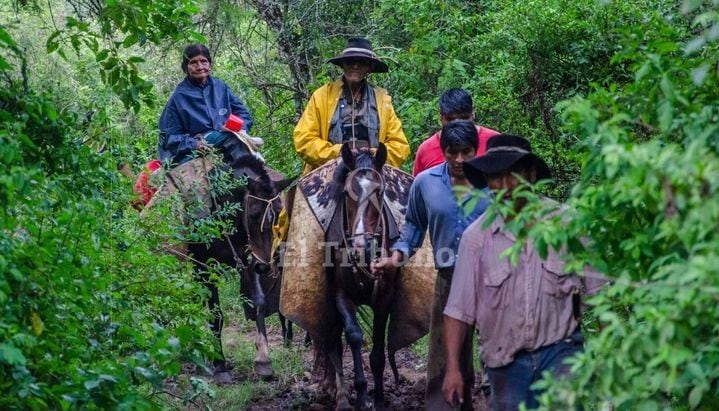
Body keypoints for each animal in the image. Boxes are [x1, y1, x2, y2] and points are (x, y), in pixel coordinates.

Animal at [187, 144, 294, 384]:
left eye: (279, 212)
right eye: (254, 213)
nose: (265, 267)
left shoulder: (248, 260)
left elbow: (259, 302)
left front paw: (264, 360)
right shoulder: (205, 265)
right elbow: (215, 313)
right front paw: (220, 365)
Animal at [318, 143, 402, 410]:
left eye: (380, 190)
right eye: (347, 192)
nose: (360, 246)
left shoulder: (385, 297)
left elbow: (377, 350)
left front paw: (379, 399)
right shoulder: (340, 294)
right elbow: (354, 337)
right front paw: (363, 395)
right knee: (334, 341)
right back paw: (339, 394)